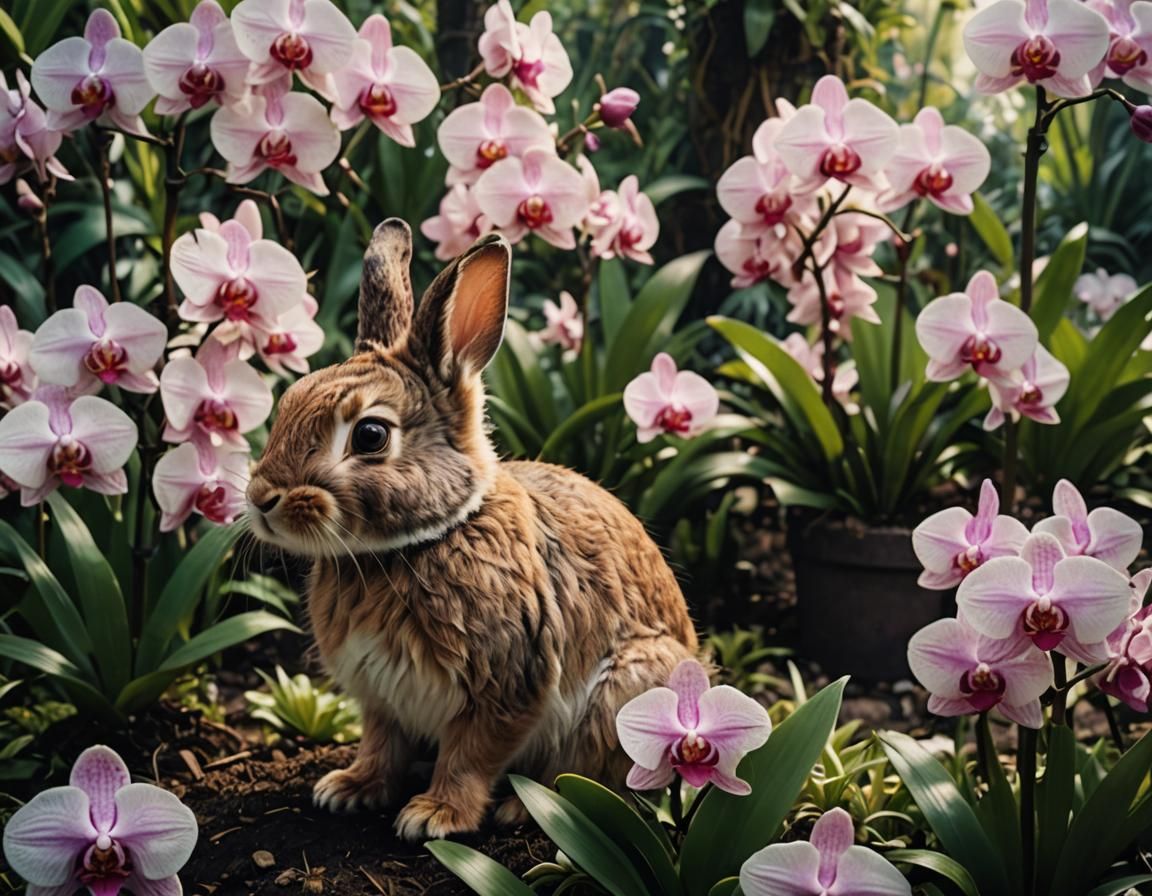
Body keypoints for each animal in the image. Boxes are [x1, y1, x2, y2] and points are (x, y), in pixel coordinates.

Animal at [246, 218, 699, 841]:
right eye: (287, 403)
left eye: (369, 436)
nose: (261, 499)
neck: (417, 543)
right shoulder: (382, 698)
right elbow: (381, 745)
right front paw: (349, 789)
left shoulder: (507, 686)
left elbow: (471, 756)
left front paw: (434, 816)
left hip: (628, 692)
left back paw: (524, 807)